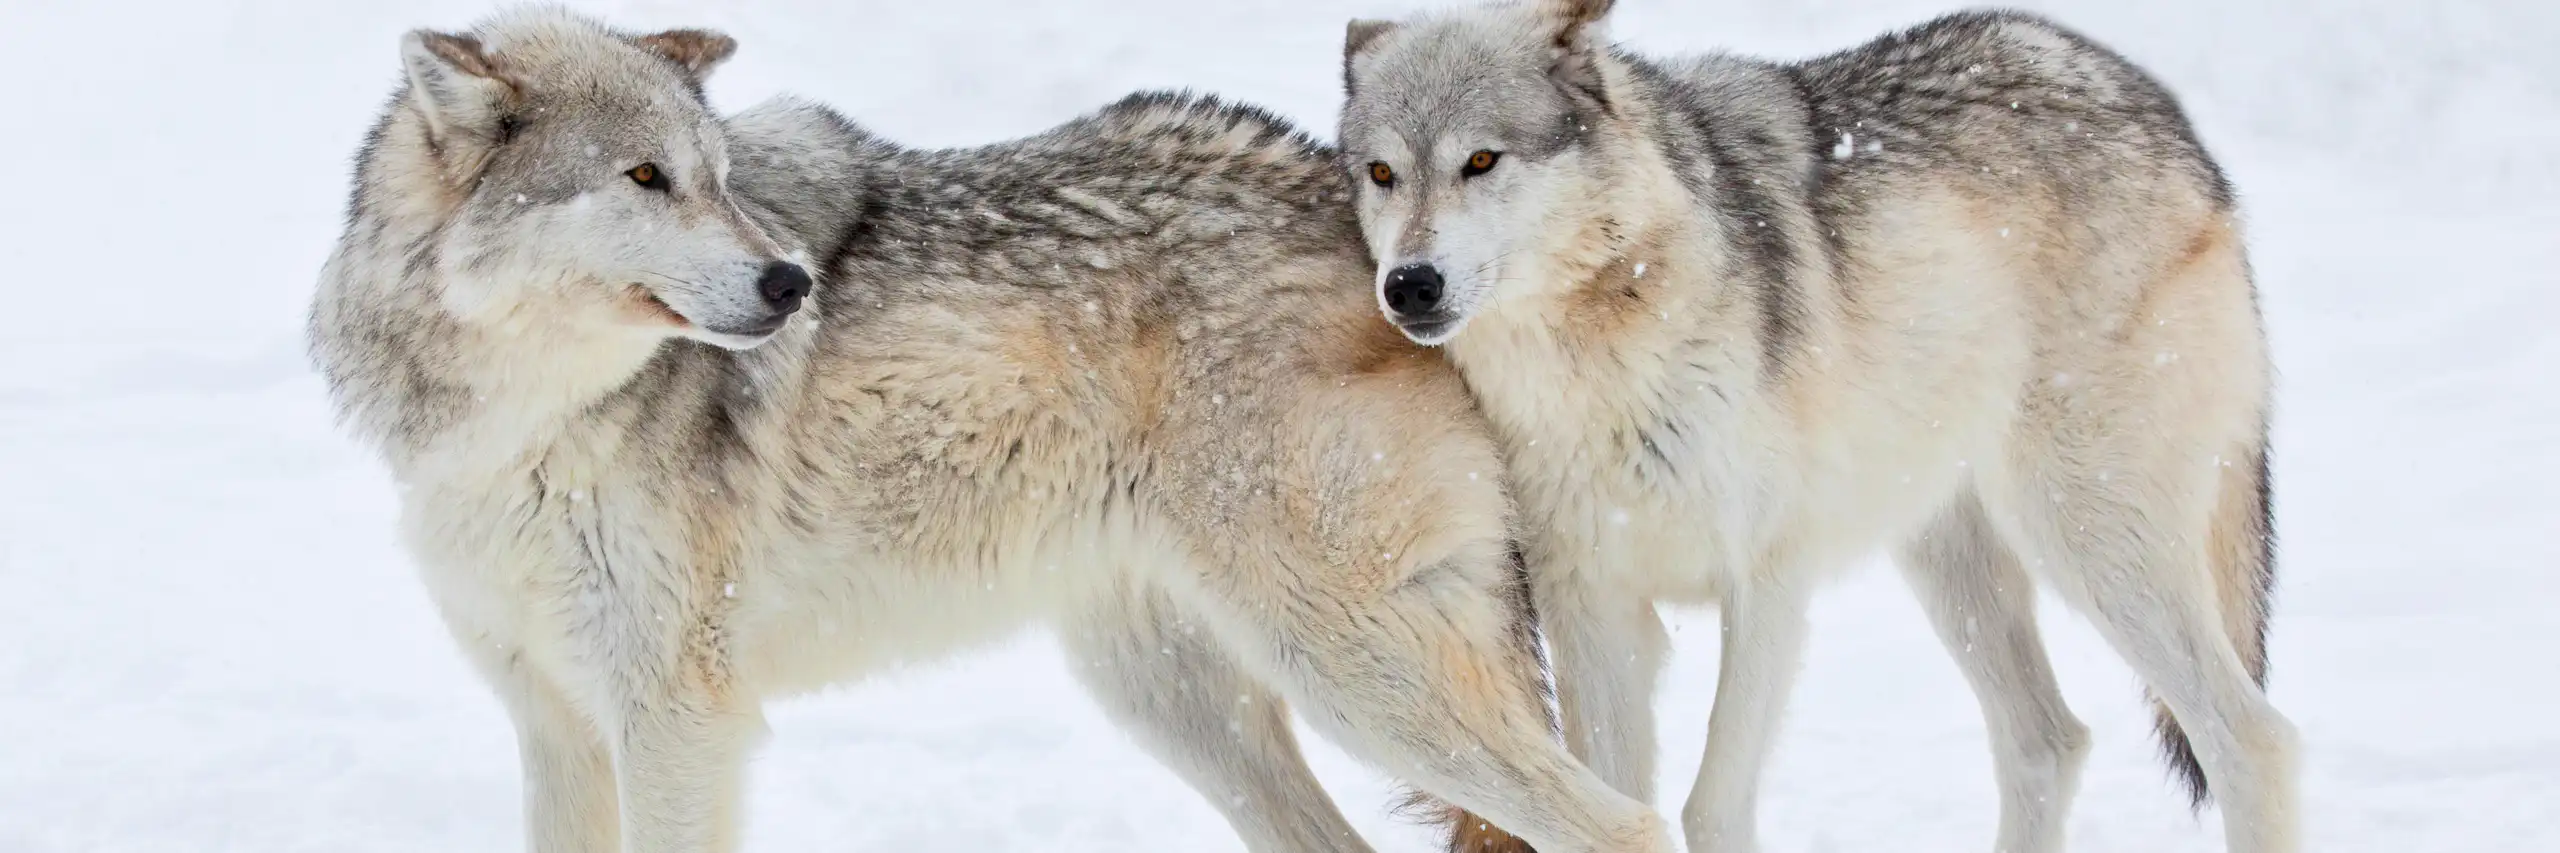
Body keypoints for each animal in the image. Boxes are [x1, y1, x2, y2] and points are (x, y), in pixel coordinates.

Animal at [306, 8, 1671, 853]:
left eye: (715, 177)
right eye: (644, 178)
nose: (789, 284)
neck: (516, 422)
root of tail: (1370, 221)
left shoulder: (674, 723)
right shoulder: (554, 721)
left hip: (1347, 670)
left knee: (1625, 822)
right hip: (1177, 695)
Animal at [1337, 1, 2300, 851]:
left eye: (1481, 160)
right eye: (1382, 174)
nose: (1409, 285)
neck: (1594, 355)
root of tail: (2153, 102)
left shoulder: (1768, 584)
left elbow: (1709, 809)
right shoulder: (1593, 605)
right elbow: (1615, 806)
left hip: (2085, 536)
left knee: (2253, 740)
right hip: (1950, 561)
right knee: (2048, 739)